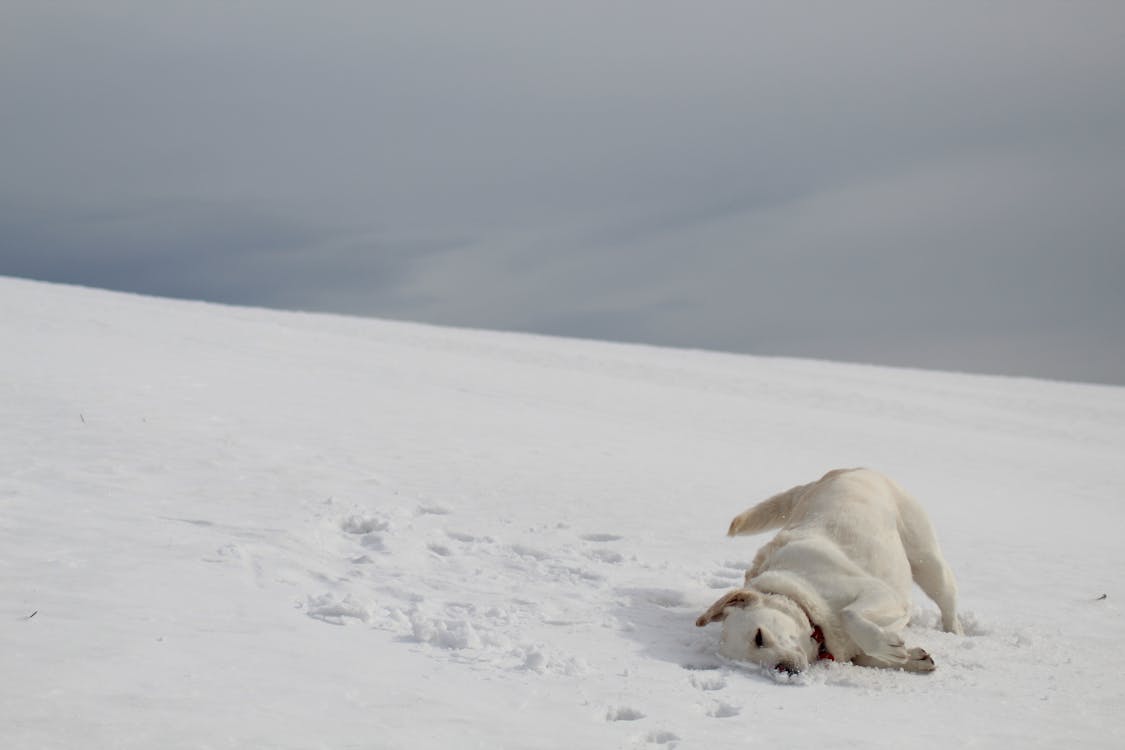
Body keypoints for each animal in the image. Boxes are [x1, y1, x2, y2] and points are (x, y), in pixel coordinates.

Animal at [697, 470, 963, 674]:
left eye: (759, 637)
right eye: (749, 664)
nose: (784, 669)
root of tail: (840, 471)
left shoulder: (882, 593)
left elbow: (849, 614)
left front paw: (888, 646)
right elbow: (868, 655)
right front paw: (913, 658)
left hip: (928, 563)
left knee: (947, 602)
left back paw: (956, 633)